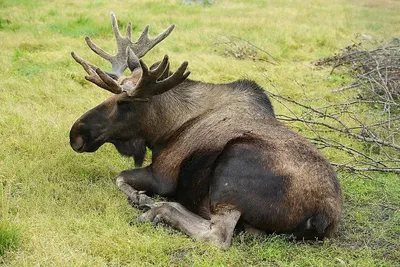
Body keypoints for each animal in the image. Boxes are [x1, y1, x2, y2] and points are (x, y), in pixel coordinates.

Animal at [68, 13, 340, 250]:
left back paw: (155, 210)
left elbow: (120, 177)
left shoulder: (162, 174)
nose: (76, 135)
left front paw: (142, 198)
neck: (165, 129)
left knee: (216, 235)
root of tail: (323, 217)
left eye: (126, 102)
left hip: (232, 168)